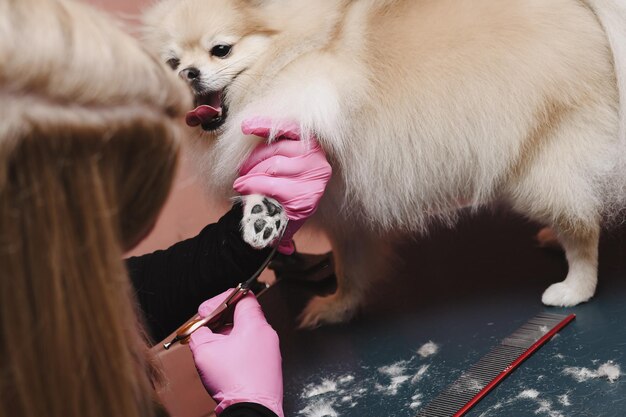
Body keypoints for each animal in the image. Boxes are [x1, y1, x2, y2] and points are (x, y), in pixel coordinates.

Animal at [141, 0, 624, 324]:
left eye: (220, 50)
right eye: (172, 62)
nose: (187, 74)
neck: (286, 57)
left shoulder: (309, 100)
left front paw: (261, 214)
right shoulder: (342, 209)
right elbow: (348, 265)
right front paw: (339, 306)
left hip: (543, 160)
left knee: (582, 226)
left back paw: (575, 286)